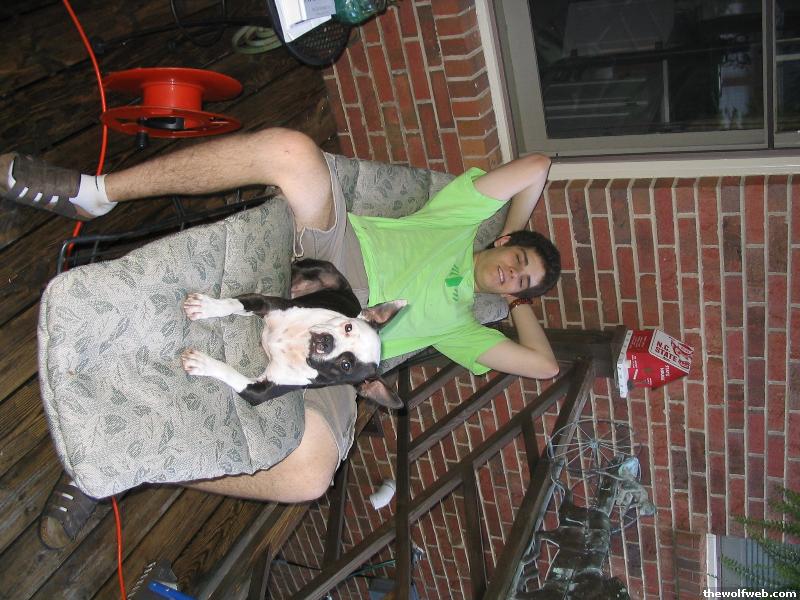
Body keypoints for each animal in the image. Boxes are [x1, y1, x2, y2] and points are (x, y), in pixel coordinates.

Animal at [180, 259, 406, 409]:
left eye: (346, 366)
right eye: (348, 327)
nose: (327, 342)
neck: (299, 346)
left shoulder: (258, 392)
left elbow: (228, 371)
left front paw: (202, 363)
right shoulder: (265, 302)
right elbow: (232, 303)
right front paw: (206, 307)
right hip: (317, 268)